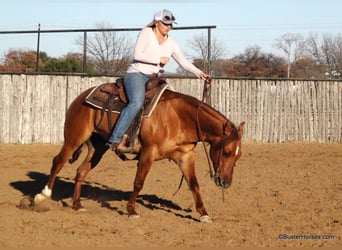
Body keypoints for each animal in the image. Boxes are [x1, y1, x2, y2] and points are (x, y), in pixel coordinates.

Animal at [33, 78, 244, 223]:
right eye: (226, 152)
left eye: (238, 156)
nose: (225, 183)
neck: (178, 117)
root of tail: (81, 97)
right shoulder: (148, 153)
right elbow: (138, 183)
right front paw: (131, 210)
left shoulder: (186, 156)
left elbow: (194, 185)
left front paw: (204, 214)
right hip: (74, 138)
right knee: (58, 162)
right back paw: (42, 195)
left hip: (97, 148)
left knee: (81, 172)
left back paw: (77, 205)